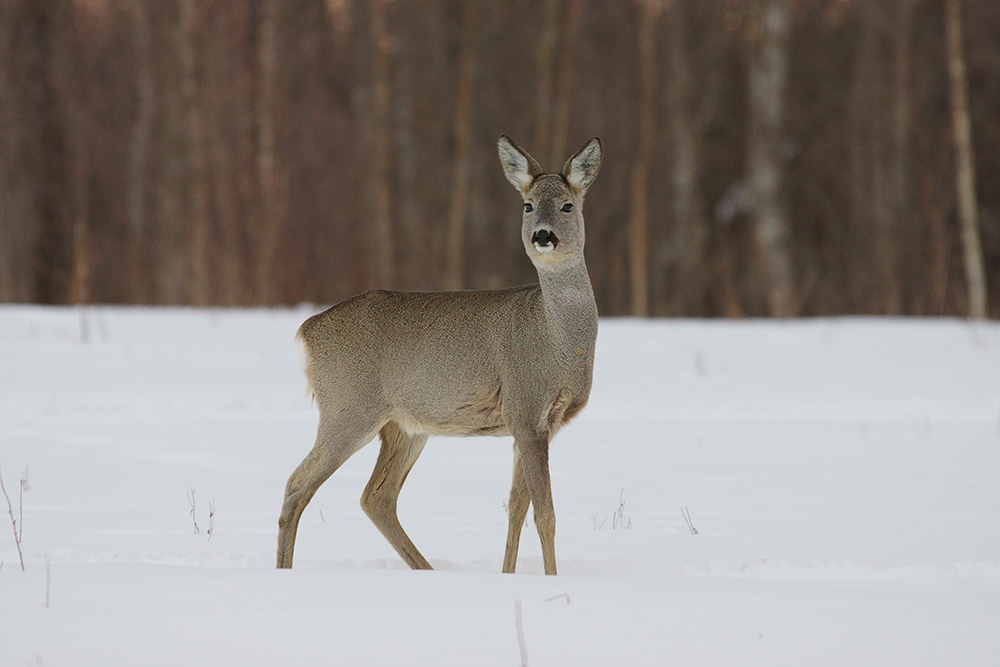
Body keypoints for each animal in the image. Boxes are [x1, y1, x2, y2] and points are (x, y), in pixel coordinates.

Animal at [276, 134, 600, 576]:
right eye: (528, 205)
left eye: (568, 205)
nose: (543, 236)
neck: (560, 340)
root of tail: (307, 332)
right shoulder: (526, 405)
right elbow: (545, 514)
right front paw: (549, 579)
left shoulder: (530, 423)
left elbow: (516, 510)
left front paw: (508, 576)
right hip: (348, 407)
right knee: (298, 485)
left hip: (404, 426)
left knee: (376, 497)